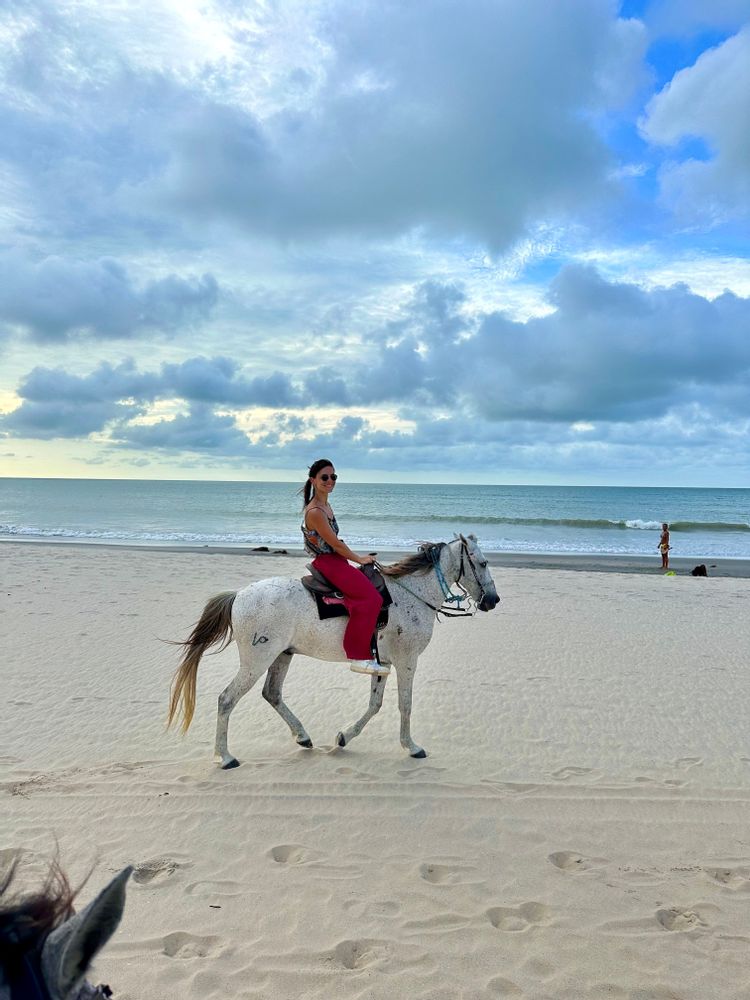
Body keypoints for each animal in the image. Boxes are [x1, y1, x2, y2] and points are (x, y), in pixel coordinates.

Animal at [167, 534, 500, 768]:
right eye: (483, 563)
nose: (493, 600)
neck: (412, 595)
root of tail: (238, 595)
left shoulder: (383, 663)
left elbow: (374, 705)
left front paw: (344, 737)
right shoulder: (407, 661)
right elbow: (405, 705)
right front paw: (411, 746)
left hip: (282, 655)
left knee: (272, 694)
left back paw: (302, 736)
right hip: (257, 660)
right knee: (227, 699)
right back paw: (224, 757)